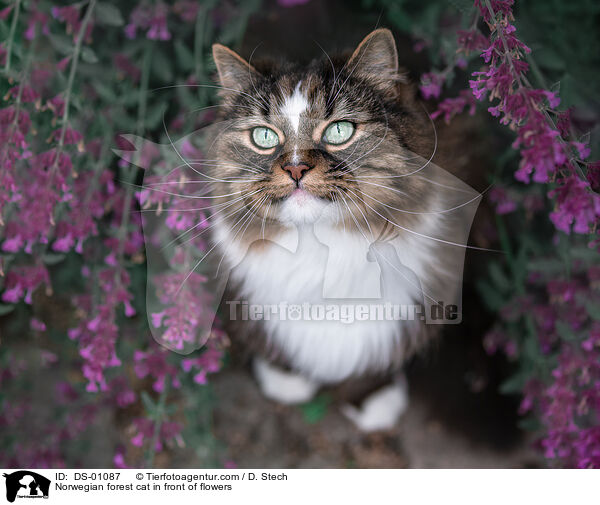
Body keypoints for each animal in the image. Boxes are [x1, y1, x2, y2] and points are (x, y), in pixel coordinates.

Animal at [209, 28, 480, 430]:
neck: (320, 252)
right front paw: (286, 380)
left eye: (339, 130)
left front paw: (374, 399)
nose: (294, 168)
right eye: (264, 137)